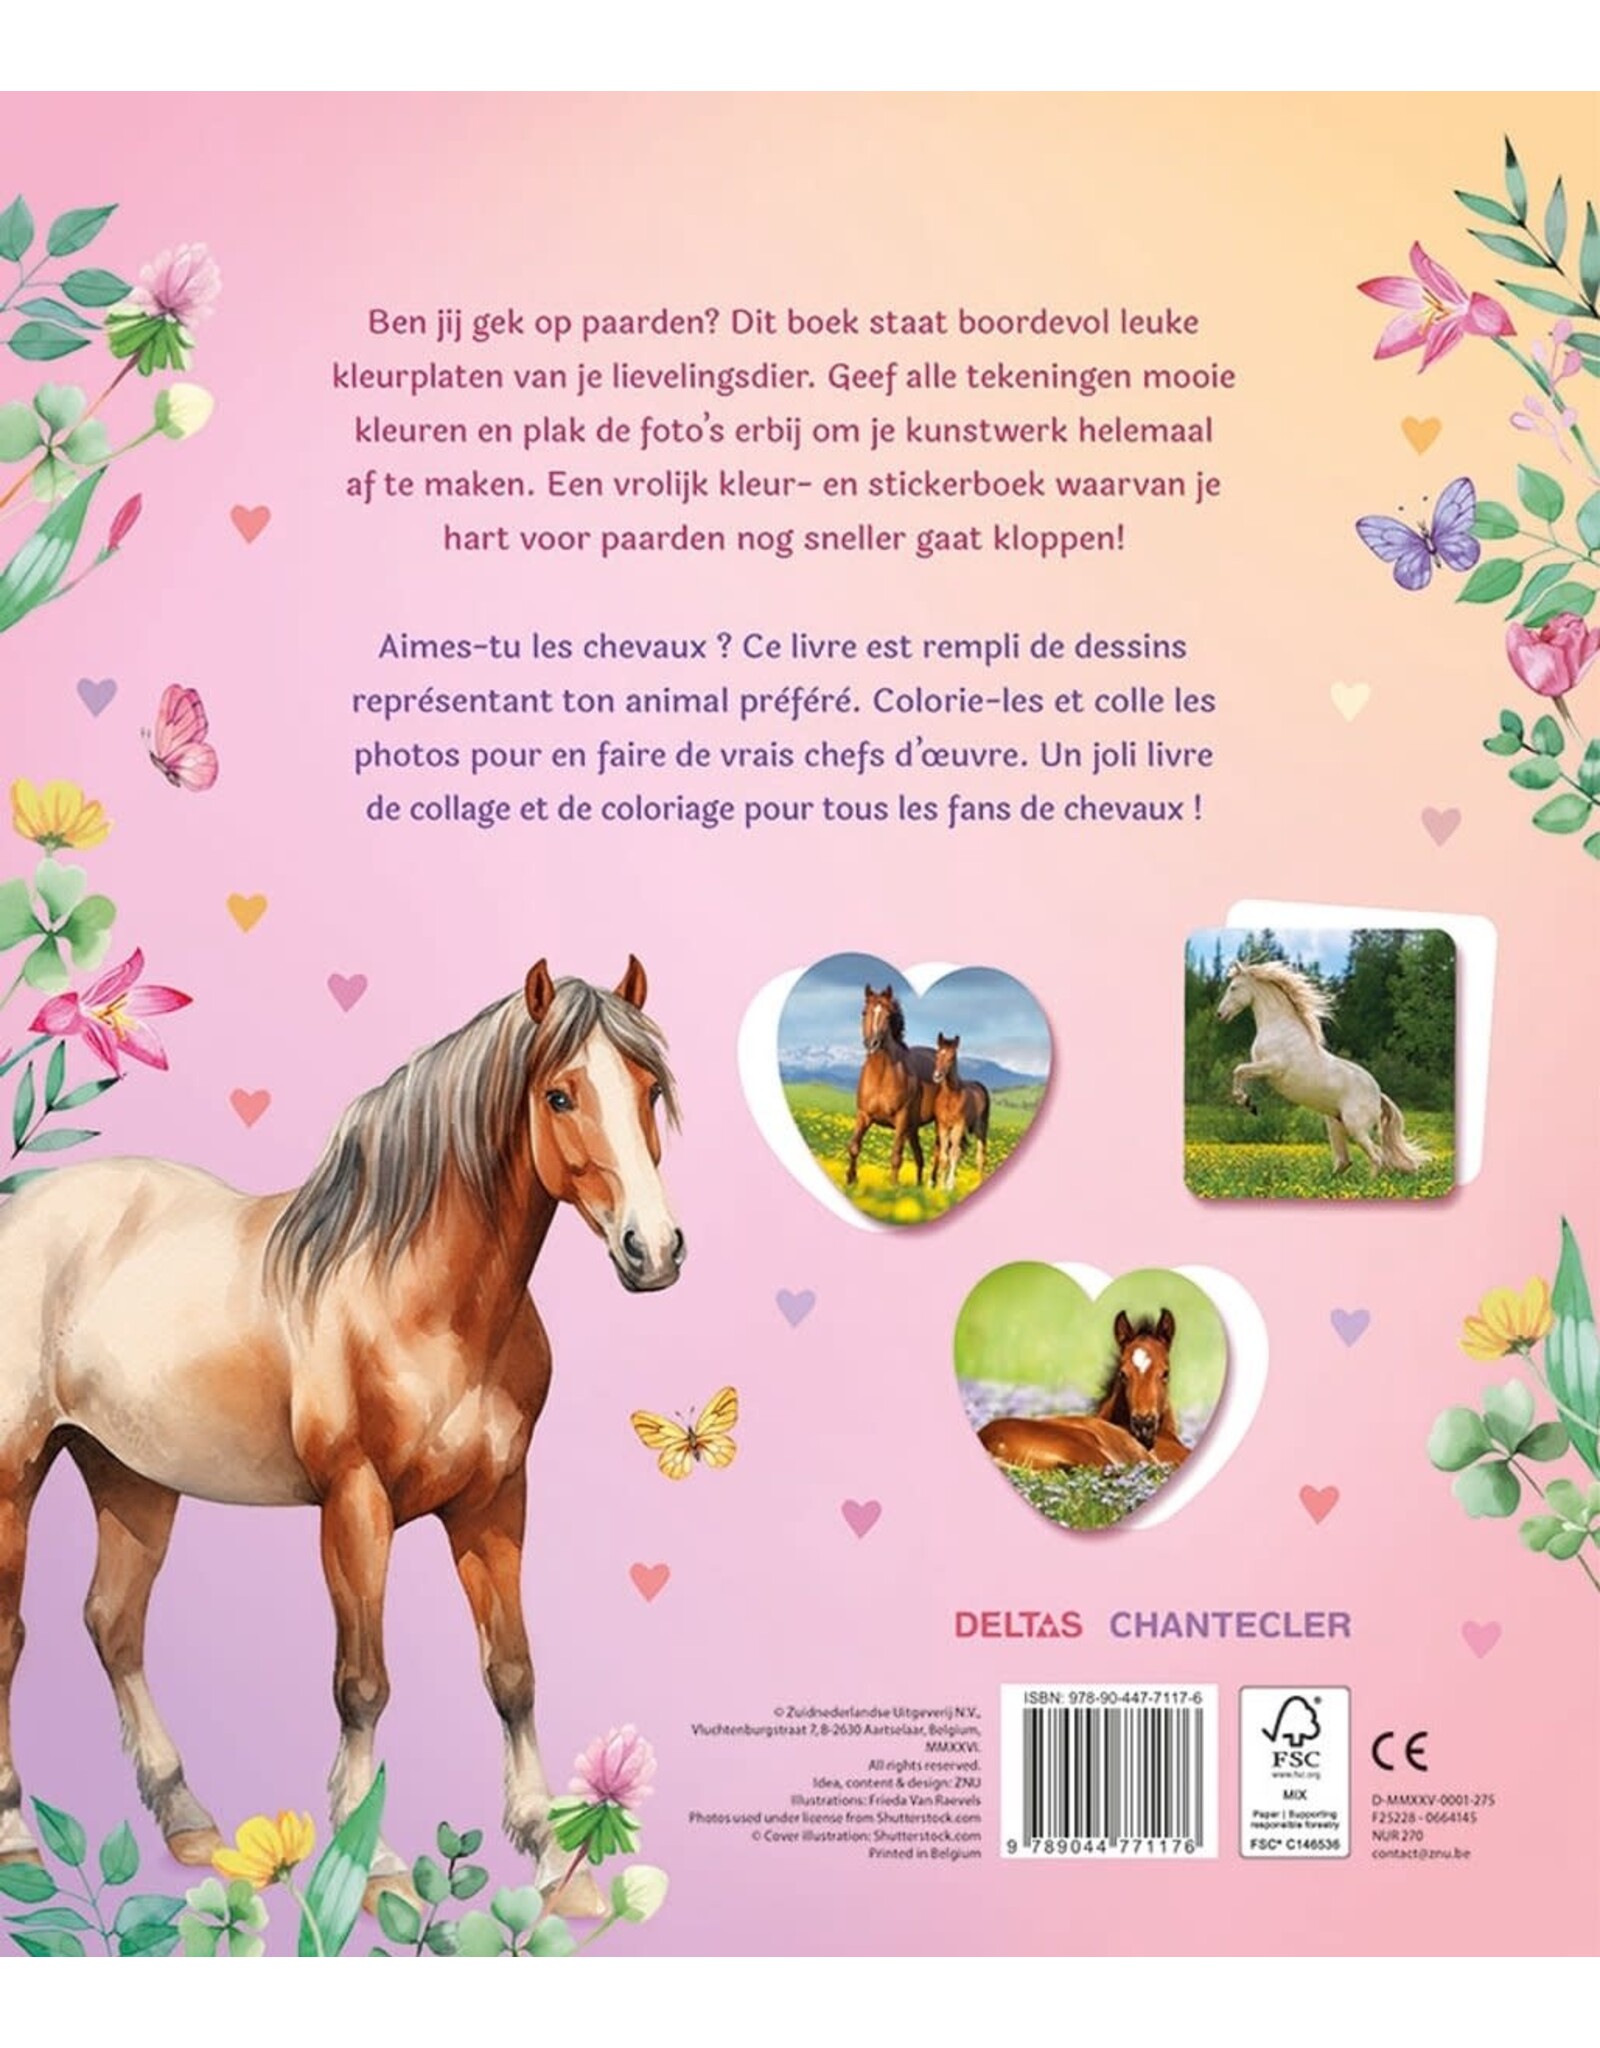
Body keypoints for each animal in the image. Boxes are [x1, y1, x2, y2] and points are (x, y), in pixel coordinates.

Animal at [0, 956, 683, 1917]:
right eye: (559, 1094)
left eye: (650, 1089)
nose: (652, 1251)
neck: (420, 1300)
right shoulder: (355, 1506)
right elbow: (362, 1685)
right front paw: (378, 1864)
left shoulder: (495, 1504)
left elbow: (512, 1674)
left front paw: (556, 1864)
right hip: (16, 1474)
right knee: (12, 1636)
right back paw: (17, 1838)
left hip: (131, 1475)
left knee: (114, 1622)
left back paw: (186, 1817)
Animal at [845, 985, 937, 1189]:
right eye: (864, 1012)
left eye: (888, 1016)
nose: (872, 1043)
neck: (881, 1076)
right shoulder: (864, 1115)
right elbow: (854, 1146)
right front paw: (850, 1179)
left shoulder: (901, 1119)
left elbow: (896, 1155)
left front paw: (893, 1188)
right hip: (913, 1129)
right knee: (919, 1157)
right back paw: (919, 1187)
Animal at [930, 1033, 991, 1194]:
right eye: (937, 1054)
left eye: (952, 1057)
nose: (937, 1076)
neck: (950, 1096)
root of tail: (979, 1085)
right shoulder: (943, 1127)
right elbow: (944, 1156)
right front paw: (941, 1187)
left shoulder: (958, 1125)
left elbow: (952, 1154)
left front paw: (949, 1186)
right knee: (960, 1151)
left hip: (980, 1128)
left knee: (980, 1156)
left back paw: (979, 1182)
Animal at [1216, 959, 1428, 1174]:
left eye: (1233, 987)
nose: (1220, 1014)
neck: (1279, 1027)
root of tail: (1378, 1095)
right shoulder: (1261, 1068)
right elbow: (1241, 1072)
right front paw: (1249, 1103)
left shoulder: (1272, 1067)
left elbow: (1239, 1070)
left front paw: (1246, 1102)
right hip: (1335, 1124)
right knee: (1345, 1161)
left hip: (1355, 1127)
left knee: (1377, 1157)